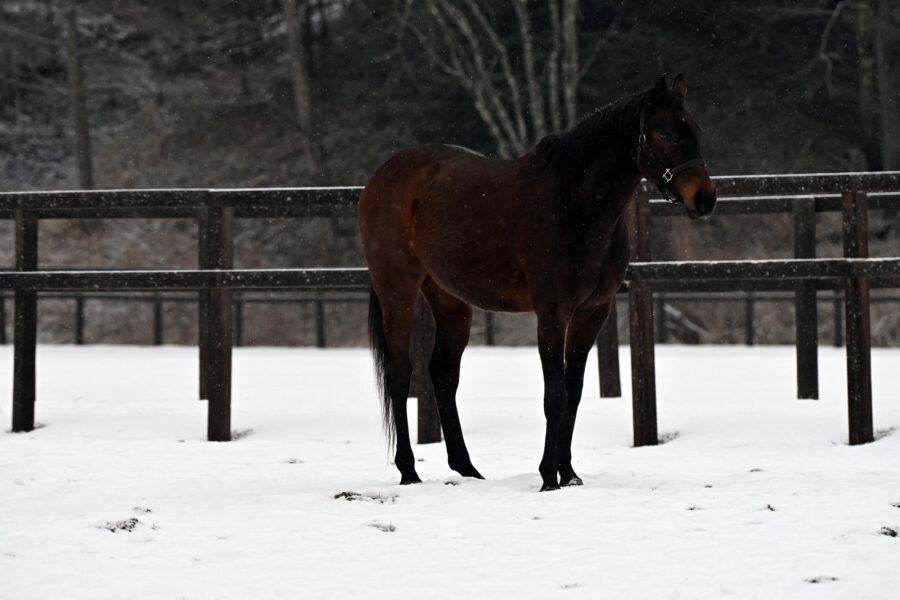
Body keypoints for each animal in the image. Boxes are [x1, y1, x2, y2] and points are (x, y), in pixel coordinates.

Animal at [358, 75, 716, 491]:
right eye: (664, 132)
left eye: (696, 130)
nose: (704, 198)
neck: (573, 205)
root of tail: (381, 176)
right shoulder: (552, 312)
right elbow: (554, 395)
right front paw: (548, 477)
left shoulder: (593, 312)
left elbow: (573, 391)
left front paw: (570, 474)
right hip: (397, 291)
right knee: (400, 373)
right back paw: (409, 472)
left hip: (450, 301)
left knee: (443, 375)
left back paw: (468, 469)